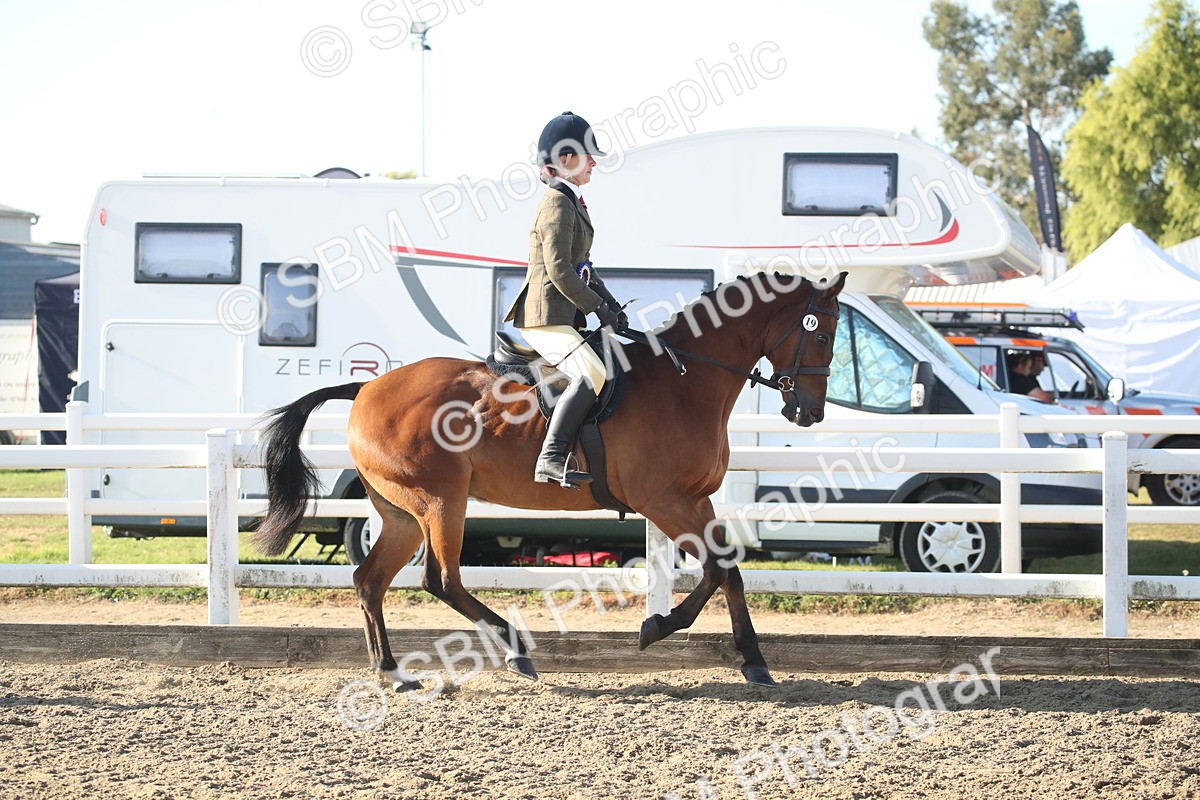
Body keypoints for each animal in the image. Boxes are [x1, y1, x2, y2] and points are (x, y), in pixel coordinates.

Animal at [253, 270, 847, 688]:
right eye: (822, 337)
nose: (809, 413)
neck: (686, 380)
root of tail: (367, 388)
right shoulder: (662, 499)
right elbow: (721, 569)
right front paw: (675, 633)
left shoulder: (694, 500)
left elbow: (726, 571)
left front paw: (734, 654)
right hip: (441, 501)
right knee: (441, 580)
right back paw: (516, 651)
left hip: (399, 512)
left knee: (370, 580)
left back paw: (393, 673)